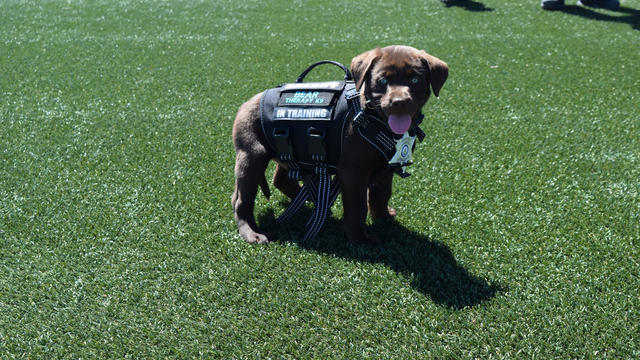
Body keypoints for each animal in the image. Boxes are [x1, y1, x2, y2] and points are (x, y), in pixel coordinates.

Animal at [232, 45, 448, 245]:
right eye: (382, 81)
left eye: (415, 80)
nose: (399, 102)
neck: (374, 118)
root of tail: (246, 103)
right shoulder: (353, 172)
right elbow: (357, 207)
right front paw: (360, 239)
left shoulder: (387, 168)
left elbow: (381, 195)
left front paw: (384, 218)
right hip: (253, 156)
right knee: (241, 200)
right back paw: (251, 232)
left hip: (292, 151)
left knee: (280, 179)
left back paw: (310, 199)